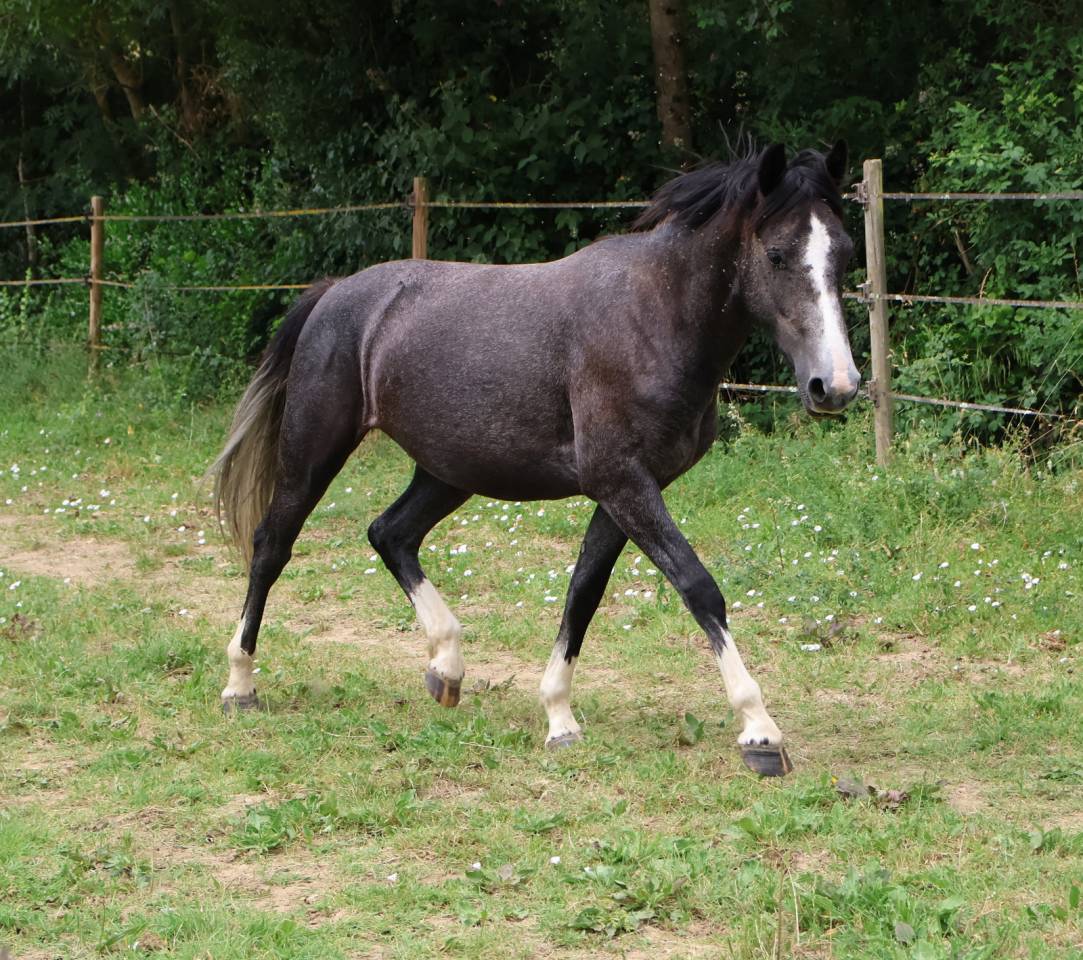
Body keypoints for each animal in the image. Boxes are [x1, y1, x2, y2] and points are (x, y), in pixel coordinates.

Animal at [210, 141, 859, 778]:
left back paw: (446, 668)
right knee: (272, 546)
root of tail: (336, 292)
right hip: (314, 453)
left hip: (450, 472)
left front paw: (559, 717)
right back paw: (240, 685)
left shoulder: (623, 490)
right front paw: (759, 731)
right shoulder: (622, 482)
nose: (836, 386)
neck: (653, 315)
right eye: (776, 255)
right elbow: (698, 587)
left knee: (390, 534)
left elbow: (584, 593)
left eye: (845, 256)